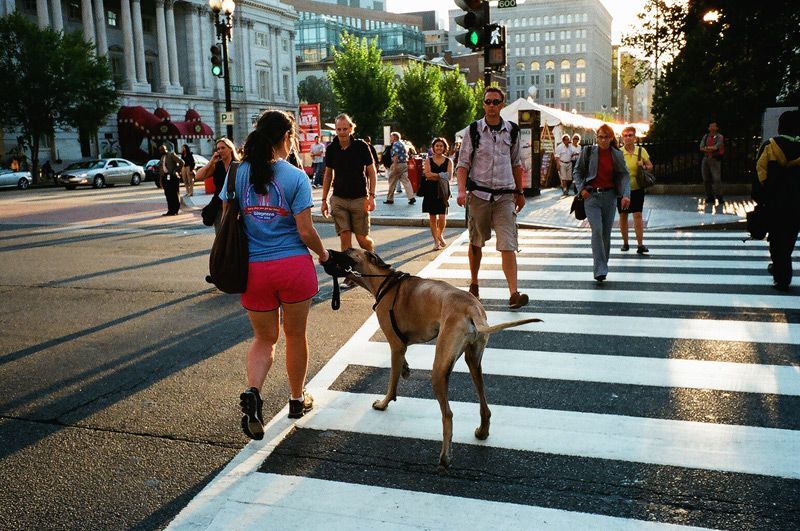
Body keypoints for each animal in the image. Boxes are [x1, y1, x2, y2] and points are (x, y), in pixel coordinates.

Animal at [328, 247, 540, 472]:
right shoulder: (401, 346)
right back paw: (482, 432)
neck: (385, 281)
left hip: (439, 371)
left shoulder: (395, 344)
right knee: (484, 405)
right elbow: (400, 365)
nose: (327, 254)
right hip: (474, 361)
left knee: (448, 414)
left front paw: (384, 403)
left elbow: (392, 381)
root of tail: (472, 308)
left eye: (348, 251)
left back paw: (445, 457)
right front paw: (405, 369)